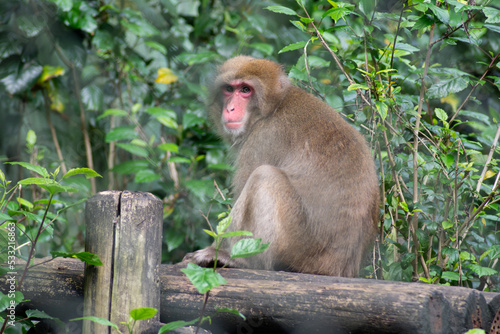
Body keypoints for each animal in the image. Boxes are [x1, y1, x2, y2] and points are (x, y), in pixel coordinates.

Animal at [185, 56, 378, 276]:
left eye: (245, 90)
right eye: (228, 89)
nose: (230, 108)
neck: (274, 107)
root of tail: (339, 267)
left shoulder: (263, 139)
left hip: (298, 246)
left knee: (265, 176)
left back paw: (243, 261)